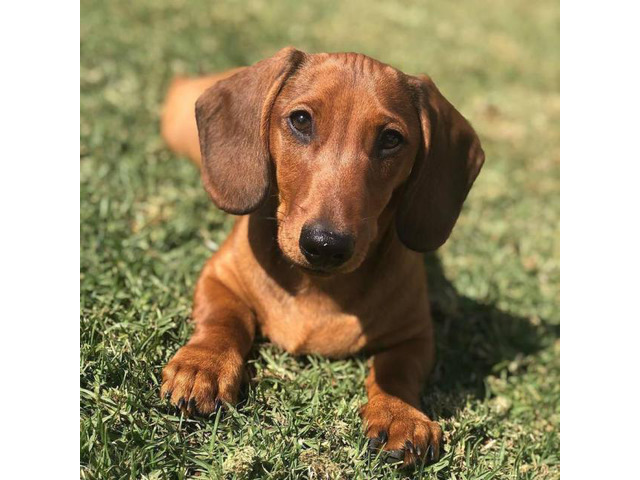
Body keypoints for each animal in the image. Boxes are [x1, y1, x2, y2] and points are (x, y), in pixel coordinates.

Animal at [158, 47, 482, 464]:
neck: (316, 286)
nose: (325, 245)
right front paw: (204, 366)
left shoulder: (415, 333)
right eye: (300, 120)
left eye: (391, 139)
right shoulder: (218, 275)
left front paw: (400, 413)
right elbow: (225, 318)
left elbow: (397, 369)